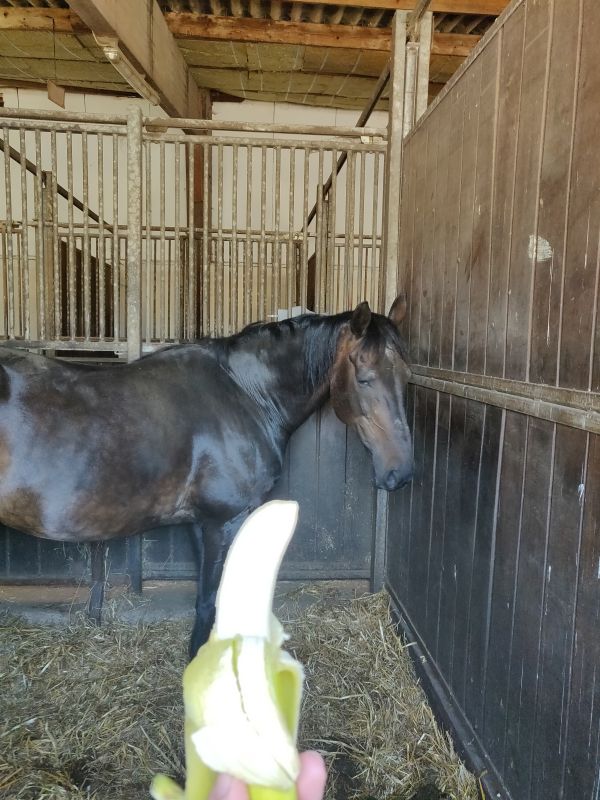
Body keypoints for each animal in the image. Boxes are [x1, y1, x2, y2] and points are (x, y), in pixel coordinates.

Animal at [0, 296, 413, 655]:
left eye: (407, 376)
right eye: (364, 377)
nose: (402, 472)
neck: (245, 395)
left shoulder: (201, 523)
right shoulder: (223, 521)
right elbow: (210, 601)